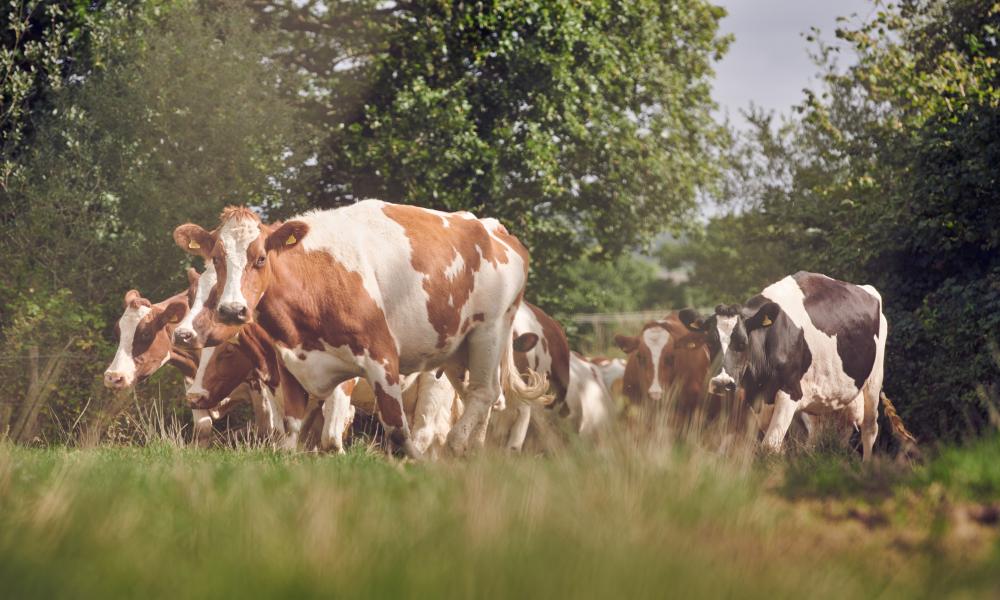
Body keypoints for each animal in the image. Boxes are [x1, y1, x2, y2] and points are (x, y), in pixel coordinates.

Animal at [172, 199, 548, 458]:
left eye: (261, 258)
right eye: (217, 259)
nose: (232, 309)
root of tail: (493, 228)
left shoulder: (378, 361)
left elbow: (390, 432)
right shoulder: (290, 369)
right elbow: (291, 436)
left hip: (489, 332)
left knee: (480, 396)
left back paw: (456, 448)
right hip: (457, 351)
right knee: (484, 397)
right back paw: (473, 453)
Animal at [684, 272, 888, 460]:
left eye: (743, 343)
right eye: (710, 342)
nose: (721, 383)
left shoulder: (789, 392)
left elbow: (769, 447)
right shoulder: (755, 399)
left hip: (874, 381)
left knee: (870, 429)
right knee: (818, 436)